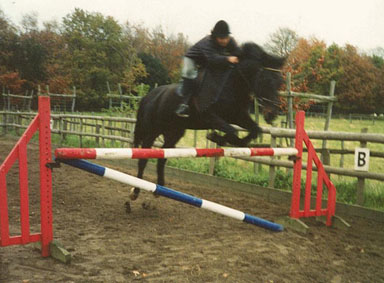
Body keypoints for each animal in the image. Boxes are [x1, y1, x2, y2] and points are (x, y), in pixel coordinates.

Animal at [129, 42, 284, 202]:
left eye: (280, 83)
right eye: (266, 81)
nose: (272, 114)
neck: (232, 84)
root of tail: (148, 96)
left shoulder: (237, 116)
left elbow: (254, 130)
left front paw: (231, 141)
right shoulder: (209, 116)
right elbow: (232, 130)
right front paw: (216, 137)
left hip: (173, 134)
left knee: (162, 159)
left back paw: (159, 189)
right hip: (151, 132)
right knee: (143, 159)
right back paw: (135, 191)